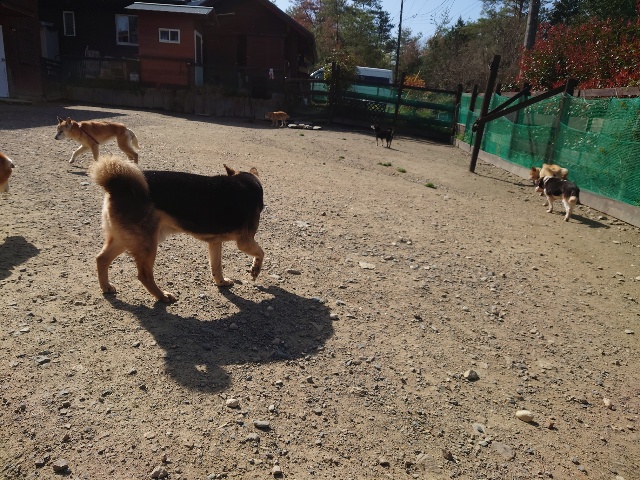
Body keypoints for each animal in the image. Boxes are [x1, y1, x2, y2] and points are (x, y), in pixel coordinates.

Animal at [89, 156, 264, 303]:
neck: (245, 182)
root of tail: (117, 186)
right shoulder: (244, 242)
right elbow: (261, 253)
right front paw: (255, 270)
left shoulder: (215, 242)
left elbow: (216, 266)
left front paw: (221, 282)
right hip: (147, 244)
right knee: (144, 275)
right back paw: (162, 296)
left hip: (126, 239)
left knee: (101, 259)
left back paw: (106, 286)